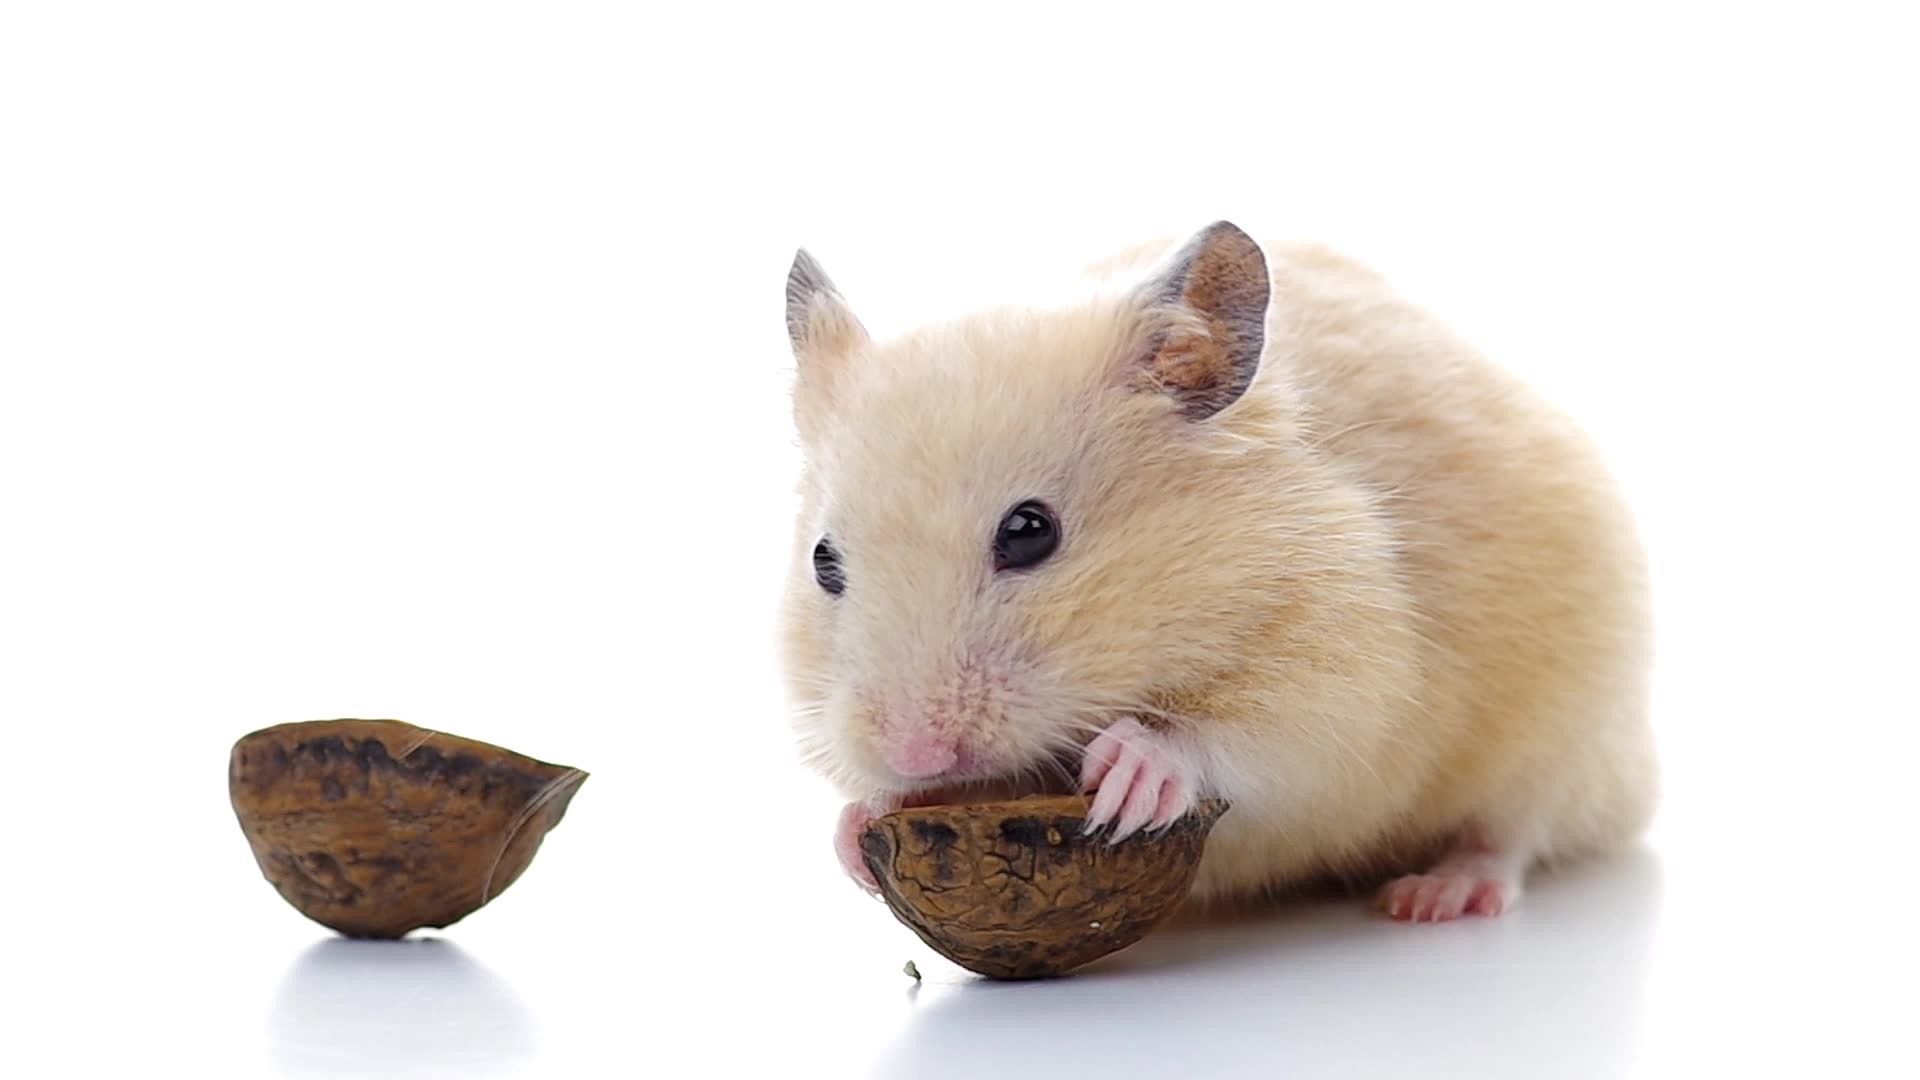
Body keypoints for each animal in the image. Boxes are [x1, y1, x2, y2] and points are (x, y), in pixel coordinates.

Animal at [779, 221, 1655, 922]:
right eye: (824, 561)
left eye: (1030, 532)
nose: (917, 753)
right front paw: (860, 830)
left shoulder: (1347, 668)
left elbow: (1248, 737)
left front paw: (1131, 769)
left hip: (1570, 722)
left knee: (1515, 830)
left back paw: (1434, 899)